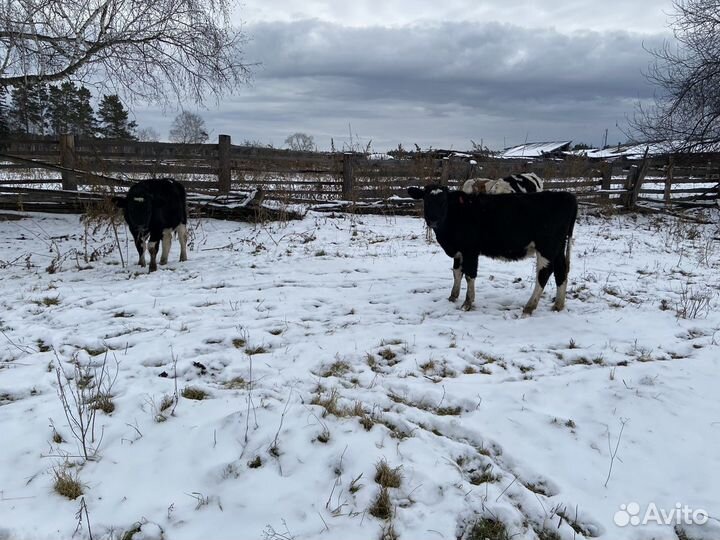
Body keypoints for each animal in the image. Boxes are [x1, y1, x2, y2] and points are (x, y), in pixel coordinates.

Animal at [408, 185, 576, 314]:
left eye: (443, 201)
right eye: (426, 200)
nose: (433, 220)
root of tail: (566, 195)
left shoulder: (470, 250)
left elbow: (469, 275)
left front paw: (467, 303)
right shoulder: (459, 251)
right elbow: (456, 273)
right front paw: (453, 296)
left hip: (547, 246)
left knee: (543, 274)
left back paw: (529, 307)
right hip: (558, 248)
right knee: (561, 271)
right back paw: (558, 305)